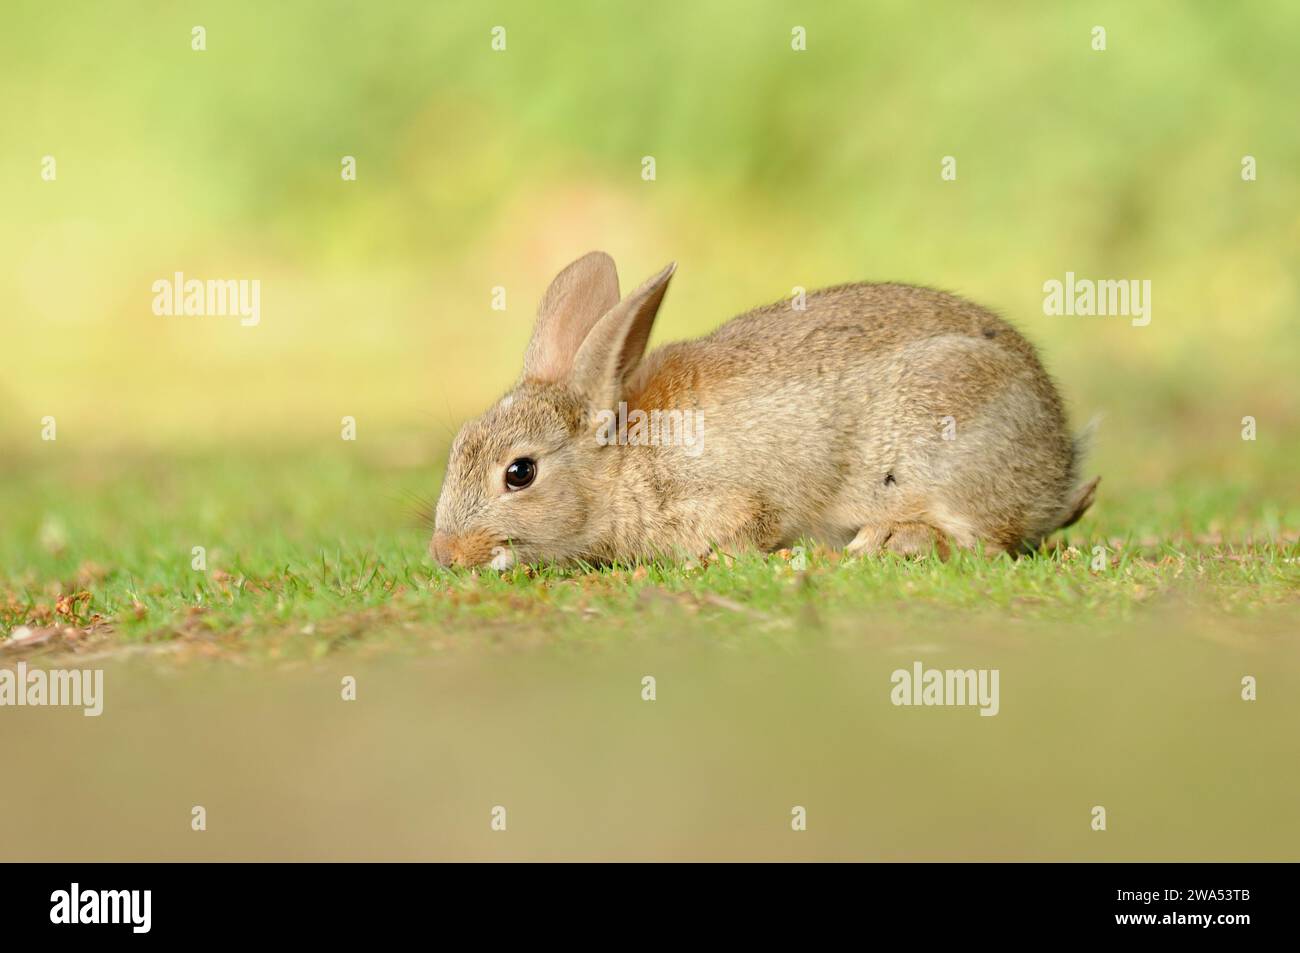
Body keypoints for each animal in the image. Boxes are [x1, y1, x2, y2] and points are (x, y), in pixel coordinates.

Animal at [430, 251, 1098, 569]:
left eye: (520, 473)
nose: (445, 554)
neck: (621, 464)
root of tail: (1058, 466)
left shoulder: (731, 497)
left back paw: (886, 540)